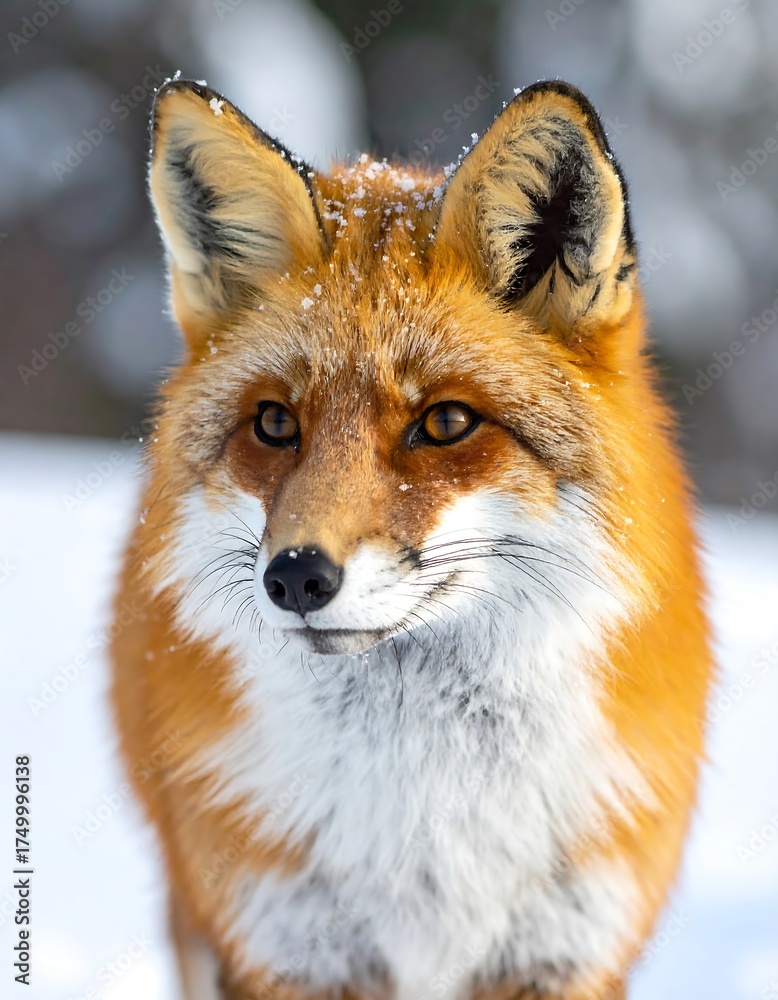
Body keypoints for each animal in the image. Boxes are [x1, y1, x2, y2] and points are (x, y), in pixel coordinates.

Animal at [110, 78, 712, 1000]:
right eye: (274, 423)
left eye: (447, 423)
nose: (296, 576)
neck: (429, 820)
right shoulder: (289, 944)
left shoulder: (561, 945)